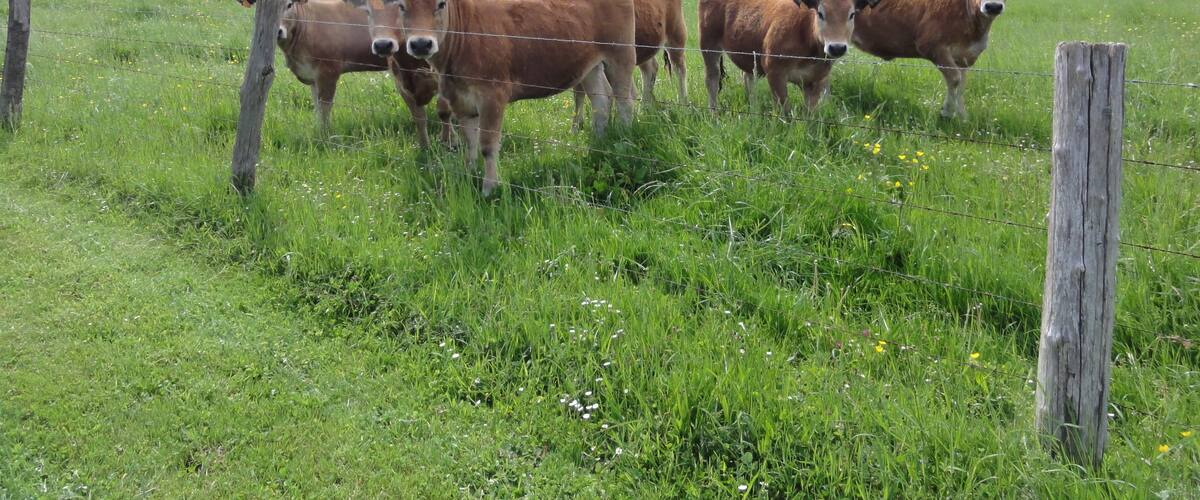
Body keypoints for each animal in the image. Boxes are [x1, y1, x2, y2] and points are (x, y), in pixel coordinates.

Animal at [250, 0, 451, 147]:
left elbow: (325, 107)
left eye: (289, 4)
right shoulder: (313, 77)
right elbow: (317, 106)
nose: (277, 31)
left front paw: (324, 136)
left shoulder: (328, 72)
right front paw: (318, 131)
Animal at [343, 0, 638, 196]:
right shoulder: (460, 99)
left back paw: (624, 137)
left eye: (441, 3)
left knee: (624, 98)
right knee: (601, 101)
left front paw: (489, 188)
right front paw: (469, 172)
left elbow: (487, 145)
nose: (420, 44)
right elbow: (469, 141)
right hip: (589, 65)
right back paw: (598, 141)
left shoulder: (492, 96)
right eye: (402, 6)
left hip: (621, 54)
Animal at [570, 0, 689, 131]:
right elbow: (579, 92)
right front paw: (577, 126)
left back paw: (683, 105)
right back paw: (643, 109)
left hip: (676, 34)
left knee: (679, 69)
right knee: (651, 69)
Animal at [700, 0, 881, 117]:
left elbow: (810, 115)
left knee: (748, 78)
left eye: (852, 15)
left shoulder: (816, 80)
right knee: (712, 80)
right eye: (820, 13)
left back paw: (754, 112)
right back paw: (713, 115)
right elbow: (785, 111)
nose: (837, 47)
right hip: (709, 43)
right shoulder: (775, 72)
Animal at [852, 0, 1006, 119]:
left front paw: (962, 117)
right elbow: (955, 79)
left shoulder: (965, 57)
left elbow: (961, 85)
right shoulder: (933, 47)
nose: (993, 6)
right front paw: (947, 113)